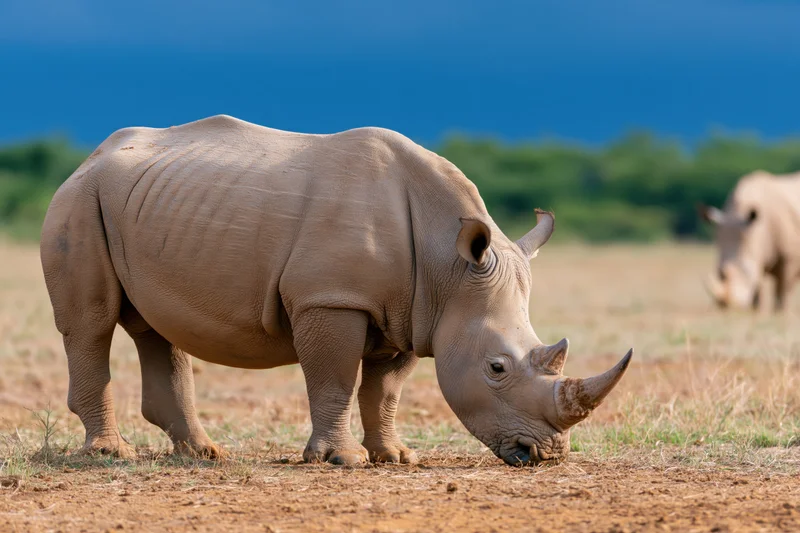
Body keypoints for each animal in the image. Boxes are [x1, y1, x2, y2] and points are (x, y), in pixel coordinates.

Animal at [40, 115, 632, 466]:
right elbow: (336, 379)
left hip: (141, 203)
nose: (547, 454)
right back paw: (110, 454)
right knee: (91, 325)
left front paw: (395, 457)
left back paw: (205, 454)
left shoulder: (414, 312)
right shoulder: (332, 298)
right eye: (496, 368)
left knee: (156, 329)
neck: (449, 265)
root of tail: (89, 157)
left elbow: (384, 390)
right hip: (78, 201)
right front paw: (342, 461)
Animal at [699, 169, 800, 311]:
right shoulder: (757, 256)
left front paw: (781, 312)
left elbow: (783, 290)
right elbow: (758, 289)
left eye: (745, 270)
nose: (728, 307)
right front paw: (756, 311)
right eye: (720, 272)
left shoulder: (789, 259)